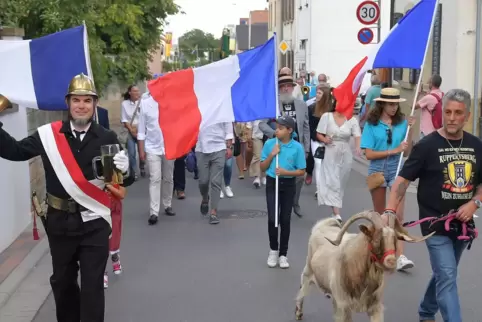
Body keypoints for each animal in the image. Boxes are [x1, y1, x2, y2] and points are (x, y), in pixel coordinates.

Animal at [294, 211, 434, 322]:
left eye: (394, 240)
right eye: (376, 239)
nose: (391, 262)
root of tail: (321, 226)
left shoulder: (375, 307)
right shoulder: (343, 307)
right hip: (308, 270)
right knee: (302, 289)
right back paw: (298, 313)